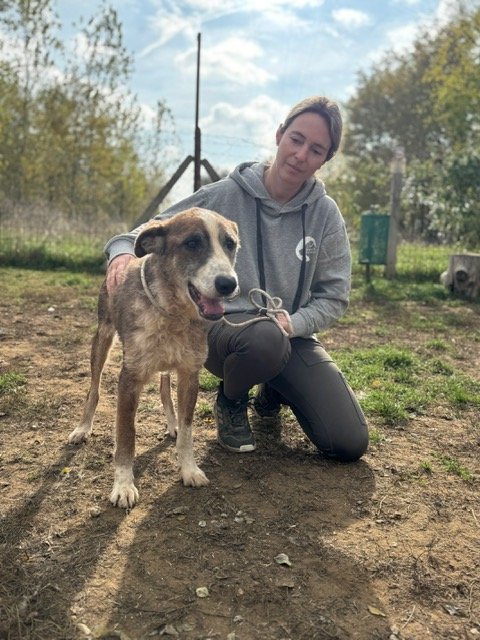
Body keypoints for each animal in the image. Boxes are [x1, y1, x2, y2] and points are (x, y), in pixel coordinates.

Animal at [68, 208, 240, 508]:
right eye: (192, 243)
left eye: (230, 244)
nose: (228, 284)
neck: (174, 313)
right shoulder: (129, 379)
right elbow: (126, 436)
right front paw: (124, 486)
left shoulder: (189, 374)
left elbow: (187, 430)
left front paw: (189, 469)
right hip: (102, 340)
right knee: (94, 389)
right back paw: (82, 428)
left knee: (164, 391)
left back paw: (171, 425)